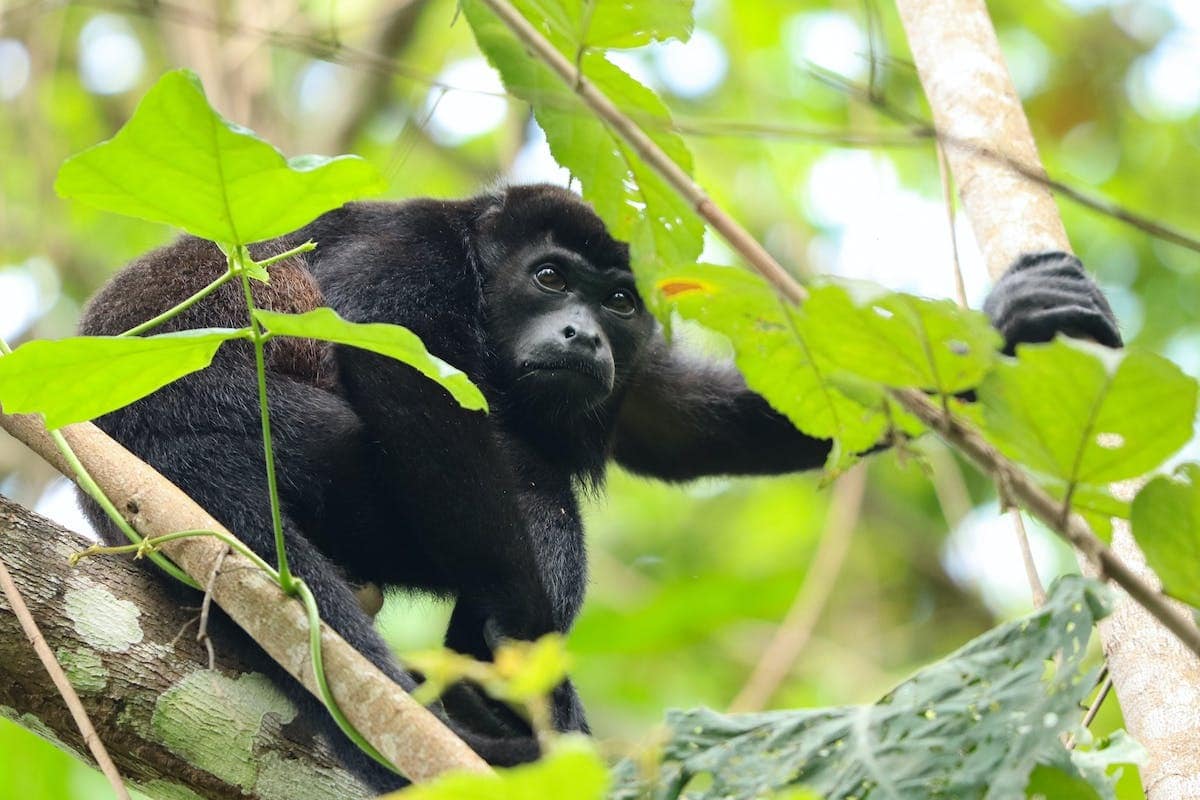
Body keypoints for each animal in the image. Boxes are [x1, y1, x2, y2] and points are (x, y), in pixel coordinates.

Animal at [76, 184, 1120, 790]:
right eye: (549, 280)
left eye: (617, 301)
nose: (582, 333)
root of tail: (136, 455)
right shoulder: (407, 252)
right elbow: (405, 379)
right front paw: (532, 670)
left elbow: (674, 422)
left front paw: (1003, 333)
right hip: (277, 443)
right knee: (529, 487)